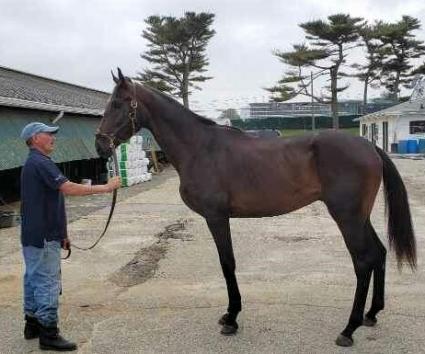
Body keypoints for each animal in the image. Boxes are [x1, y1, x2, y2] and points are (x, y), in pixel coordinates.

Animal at [95, 68, 414, 348]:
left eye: (118, 103)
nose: (100, 145)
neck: (200, 148)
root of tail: (370, 146)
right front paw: (231, 315)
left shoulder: (216, 217)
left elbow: (227, 264)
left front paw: (231, 319)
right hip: (359, 217)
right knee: (379, 253)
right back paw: (372, 314)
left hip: (347, 218)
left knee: (363, 261)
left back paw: (349, 329)